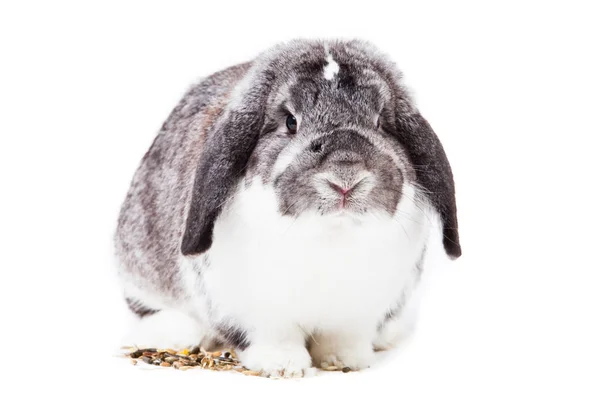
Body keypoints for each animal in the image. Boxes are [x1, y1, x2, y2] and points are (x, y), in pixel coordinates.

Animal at [115, 39, 462, 376]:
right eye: (290, 122)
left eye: (380, 122)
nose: (345, 176)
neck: (331, 235)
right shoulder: (254, 312)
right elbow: (274, 338)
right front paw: (282, 365)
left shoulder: (358, 313)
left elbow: (343, 338)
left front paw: (344, 361)